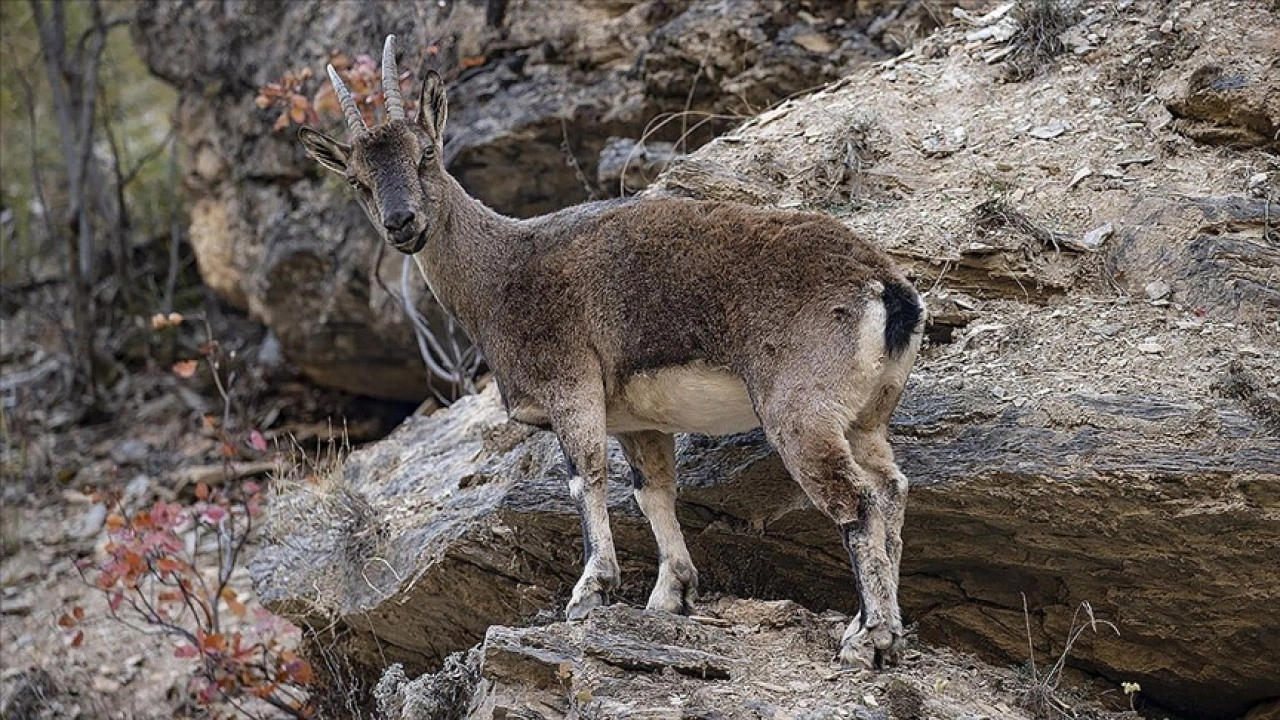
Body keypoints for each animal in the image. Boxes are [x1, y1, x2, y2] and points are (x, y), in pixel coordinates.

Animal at [299, 35, 921, 666]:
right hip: (865, 416)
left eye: (426, 153)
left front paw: (589, 591)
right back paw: (881, 629)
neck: (500, 274)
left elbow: (585, 477)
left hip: (799, 410)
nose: (402, 223)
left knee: (857, 502)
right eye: (357, 180)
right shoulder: (637, 420)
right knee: (890, 491)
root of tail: (886, 289)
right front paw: (669, 596)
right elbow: (652, 493)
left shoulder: (570, 385)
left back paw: (867, 637)